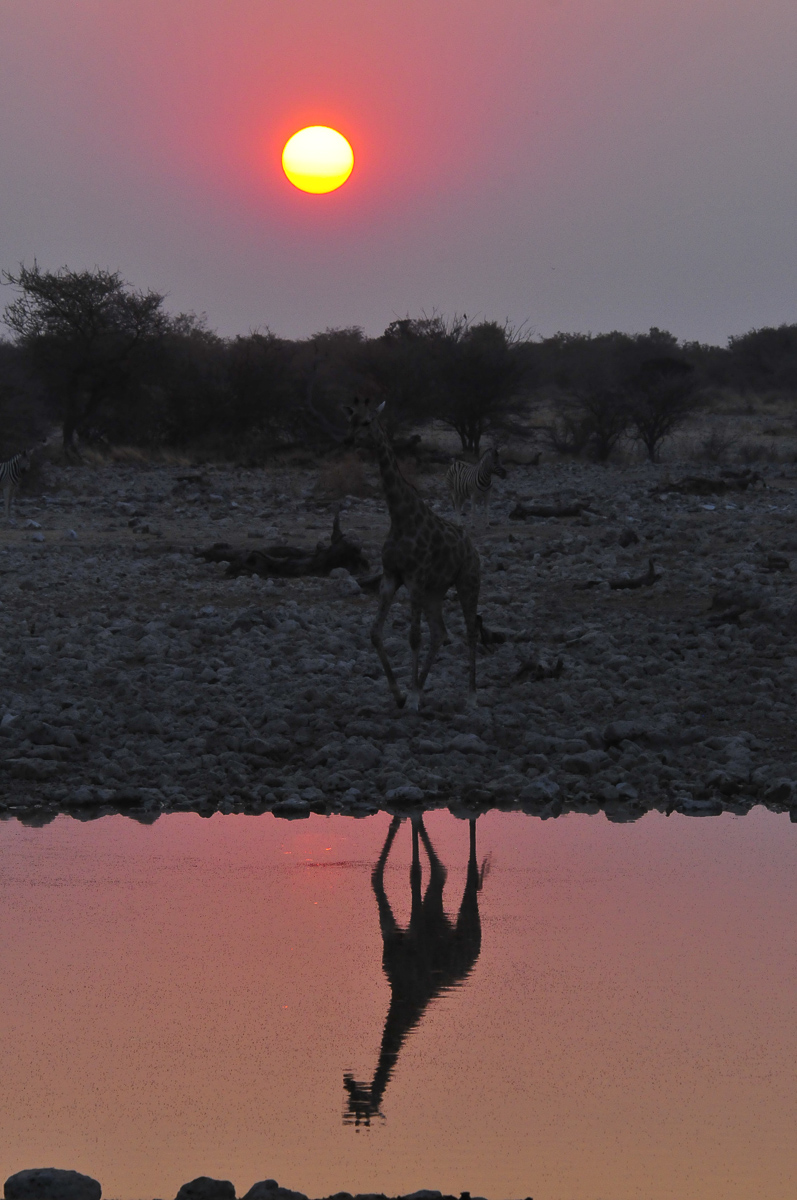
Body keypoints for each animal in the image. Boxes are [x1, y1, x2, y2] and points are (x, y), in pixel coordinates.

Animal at [343, 396, 481, 710]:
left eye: (367, 421)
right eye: (350, 419)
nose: (349, 440)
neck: (400, 517)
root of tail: (473, 548)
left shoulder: (415, 579)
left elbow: (413, 638)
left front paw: (415, 696)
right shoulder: (392, 577)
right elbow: (375, 633)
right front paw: (400, 693)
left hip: (468, 583)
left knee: (470, 632)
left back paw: (470, 695)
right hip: (435, 591)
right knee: (440, 633)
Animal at [343, 815, 488, 1126]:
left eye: (363, 1106)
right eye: (351, 1103)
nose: (349, 1081)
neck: (402, 992)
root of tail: (475, 956)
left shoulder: (422, 920)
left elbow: (421, 871)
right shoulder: (400, 934)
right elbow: (396, 858)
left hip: (468, 919)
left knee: (470, 878)